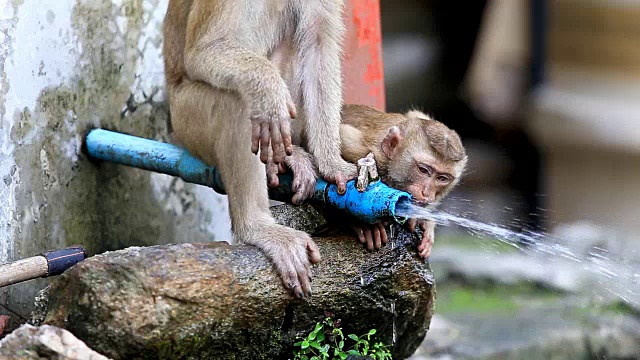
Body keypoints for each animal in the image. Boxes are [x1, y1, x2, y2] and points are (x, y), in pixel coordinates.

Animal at [162, 0, 358, 298]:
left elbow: (318, 44)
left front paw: (332, 163)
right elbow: (205, 50)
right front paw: (268, 87)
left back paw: (285, 159)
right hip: (187, 120)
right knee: (239, 102)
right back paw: (257, 227)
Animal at [268, 104, 468, 258]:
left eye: (442, 178)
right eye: (423, 170)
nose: (427, 193)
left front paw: (424, 222)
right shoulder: (358, 148)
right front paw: (360, 223)